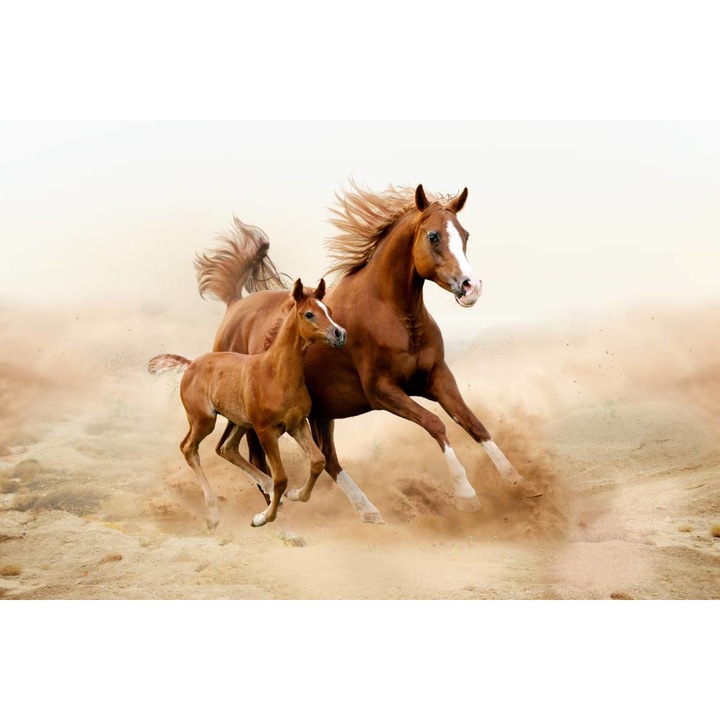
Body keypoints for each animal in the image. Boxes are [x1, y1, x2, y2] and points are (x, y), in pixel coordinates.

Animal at [148, 278, 347, 529]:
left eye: (328, 310)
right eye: (309, 314)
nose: (339, 333)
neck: (277, 374)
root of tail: (191, 364)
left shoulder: (297, 425)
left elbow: (318, 461)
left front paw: (295, 495)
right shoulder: (265, 431)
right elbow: (281, 478)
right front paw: (262, 518)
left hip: (240, 422)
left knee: (227, 448)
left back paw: (267, 490)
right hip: (204, 420)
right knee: (189, 448)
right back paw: (213, 513)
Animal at [194, 183, 541, 525]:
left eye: (465, 234)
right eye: (433, 236)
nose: (471, 287)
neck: (393, 314)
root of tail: (235, 304)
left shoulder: (438, 378)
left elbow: (473, 423)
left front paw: (520, 484)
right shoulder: (382, 391)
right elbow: (435, 424)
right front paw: (466, 494)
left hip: (320, 411)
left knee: (327, 458)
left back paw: (366, 509)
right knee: (251, 455)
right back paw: (276, 511)